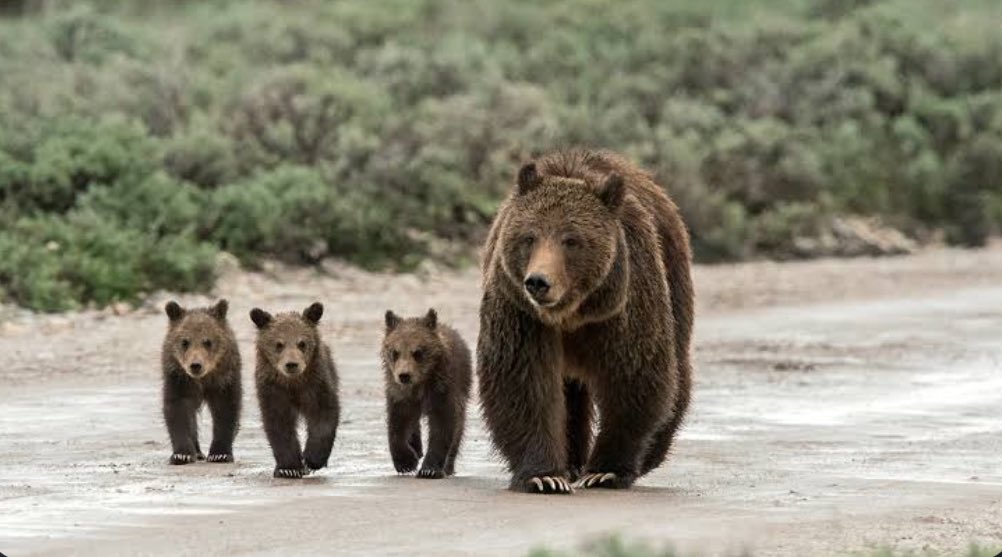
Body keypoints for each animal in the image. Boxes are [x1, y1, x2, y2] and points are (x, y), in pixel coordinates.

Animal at [161, 299, 242, 465]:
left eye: (208, 341)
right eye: (185, 342)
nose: (196, 365)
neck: (203, 380)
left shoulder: (224, 379)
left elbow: (226, 410)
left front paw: (220, 454)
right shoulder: (178, 378)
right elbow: (178, 410)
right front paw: (182, 455)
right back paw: (197, 452)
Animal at [250, 302, 341, 479]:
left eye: (302, 343)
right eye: (278, 344)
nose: (291, 364)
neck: (293, 383)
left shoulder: (315, 384)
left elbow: (323, 416)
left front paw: (312, 460)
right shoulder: (274, 390)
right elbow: (278, 424)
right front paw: (289, 468)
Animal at [381, 309, 473, 479]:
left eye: (418, 352)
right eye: (395, 352)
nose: (404, 375)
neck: (420, 383)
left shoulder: (441, 389)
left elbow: (442, 425)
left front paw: (429, 469)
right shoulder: (400, 394)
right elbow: (398, 423)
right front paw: (406, 462)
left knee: (459, 426)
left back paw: (448, 466)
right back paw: (417, 448)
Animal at [477, 149, 694, 494]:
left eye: (571, 240)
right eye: (529, 236)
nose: (538, 282)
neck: (571, 313)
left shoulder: (623, 306)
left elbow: (634, 376)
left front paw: (605, 471)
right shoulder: (521, 312)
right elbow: (523, 382)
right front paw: (545, 476)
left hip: (673, 277)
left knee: (677, 369)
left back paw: (651, 453)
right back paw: (571, 462)